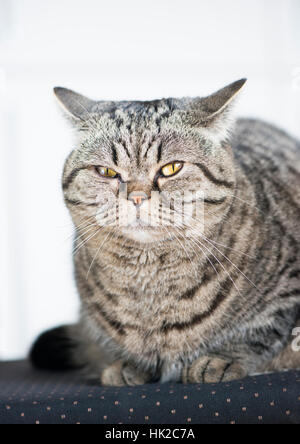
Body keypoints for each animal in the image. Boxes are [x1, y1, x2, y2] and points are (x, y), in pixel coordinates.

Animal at [29, 80, 300, 386]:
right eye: (106, 171)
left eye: (172, 168)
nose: (136, 197)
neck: (150, 278)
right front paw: (125, 366)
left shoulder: (286, 292)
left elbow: (260, 333)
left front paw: (221, 360)